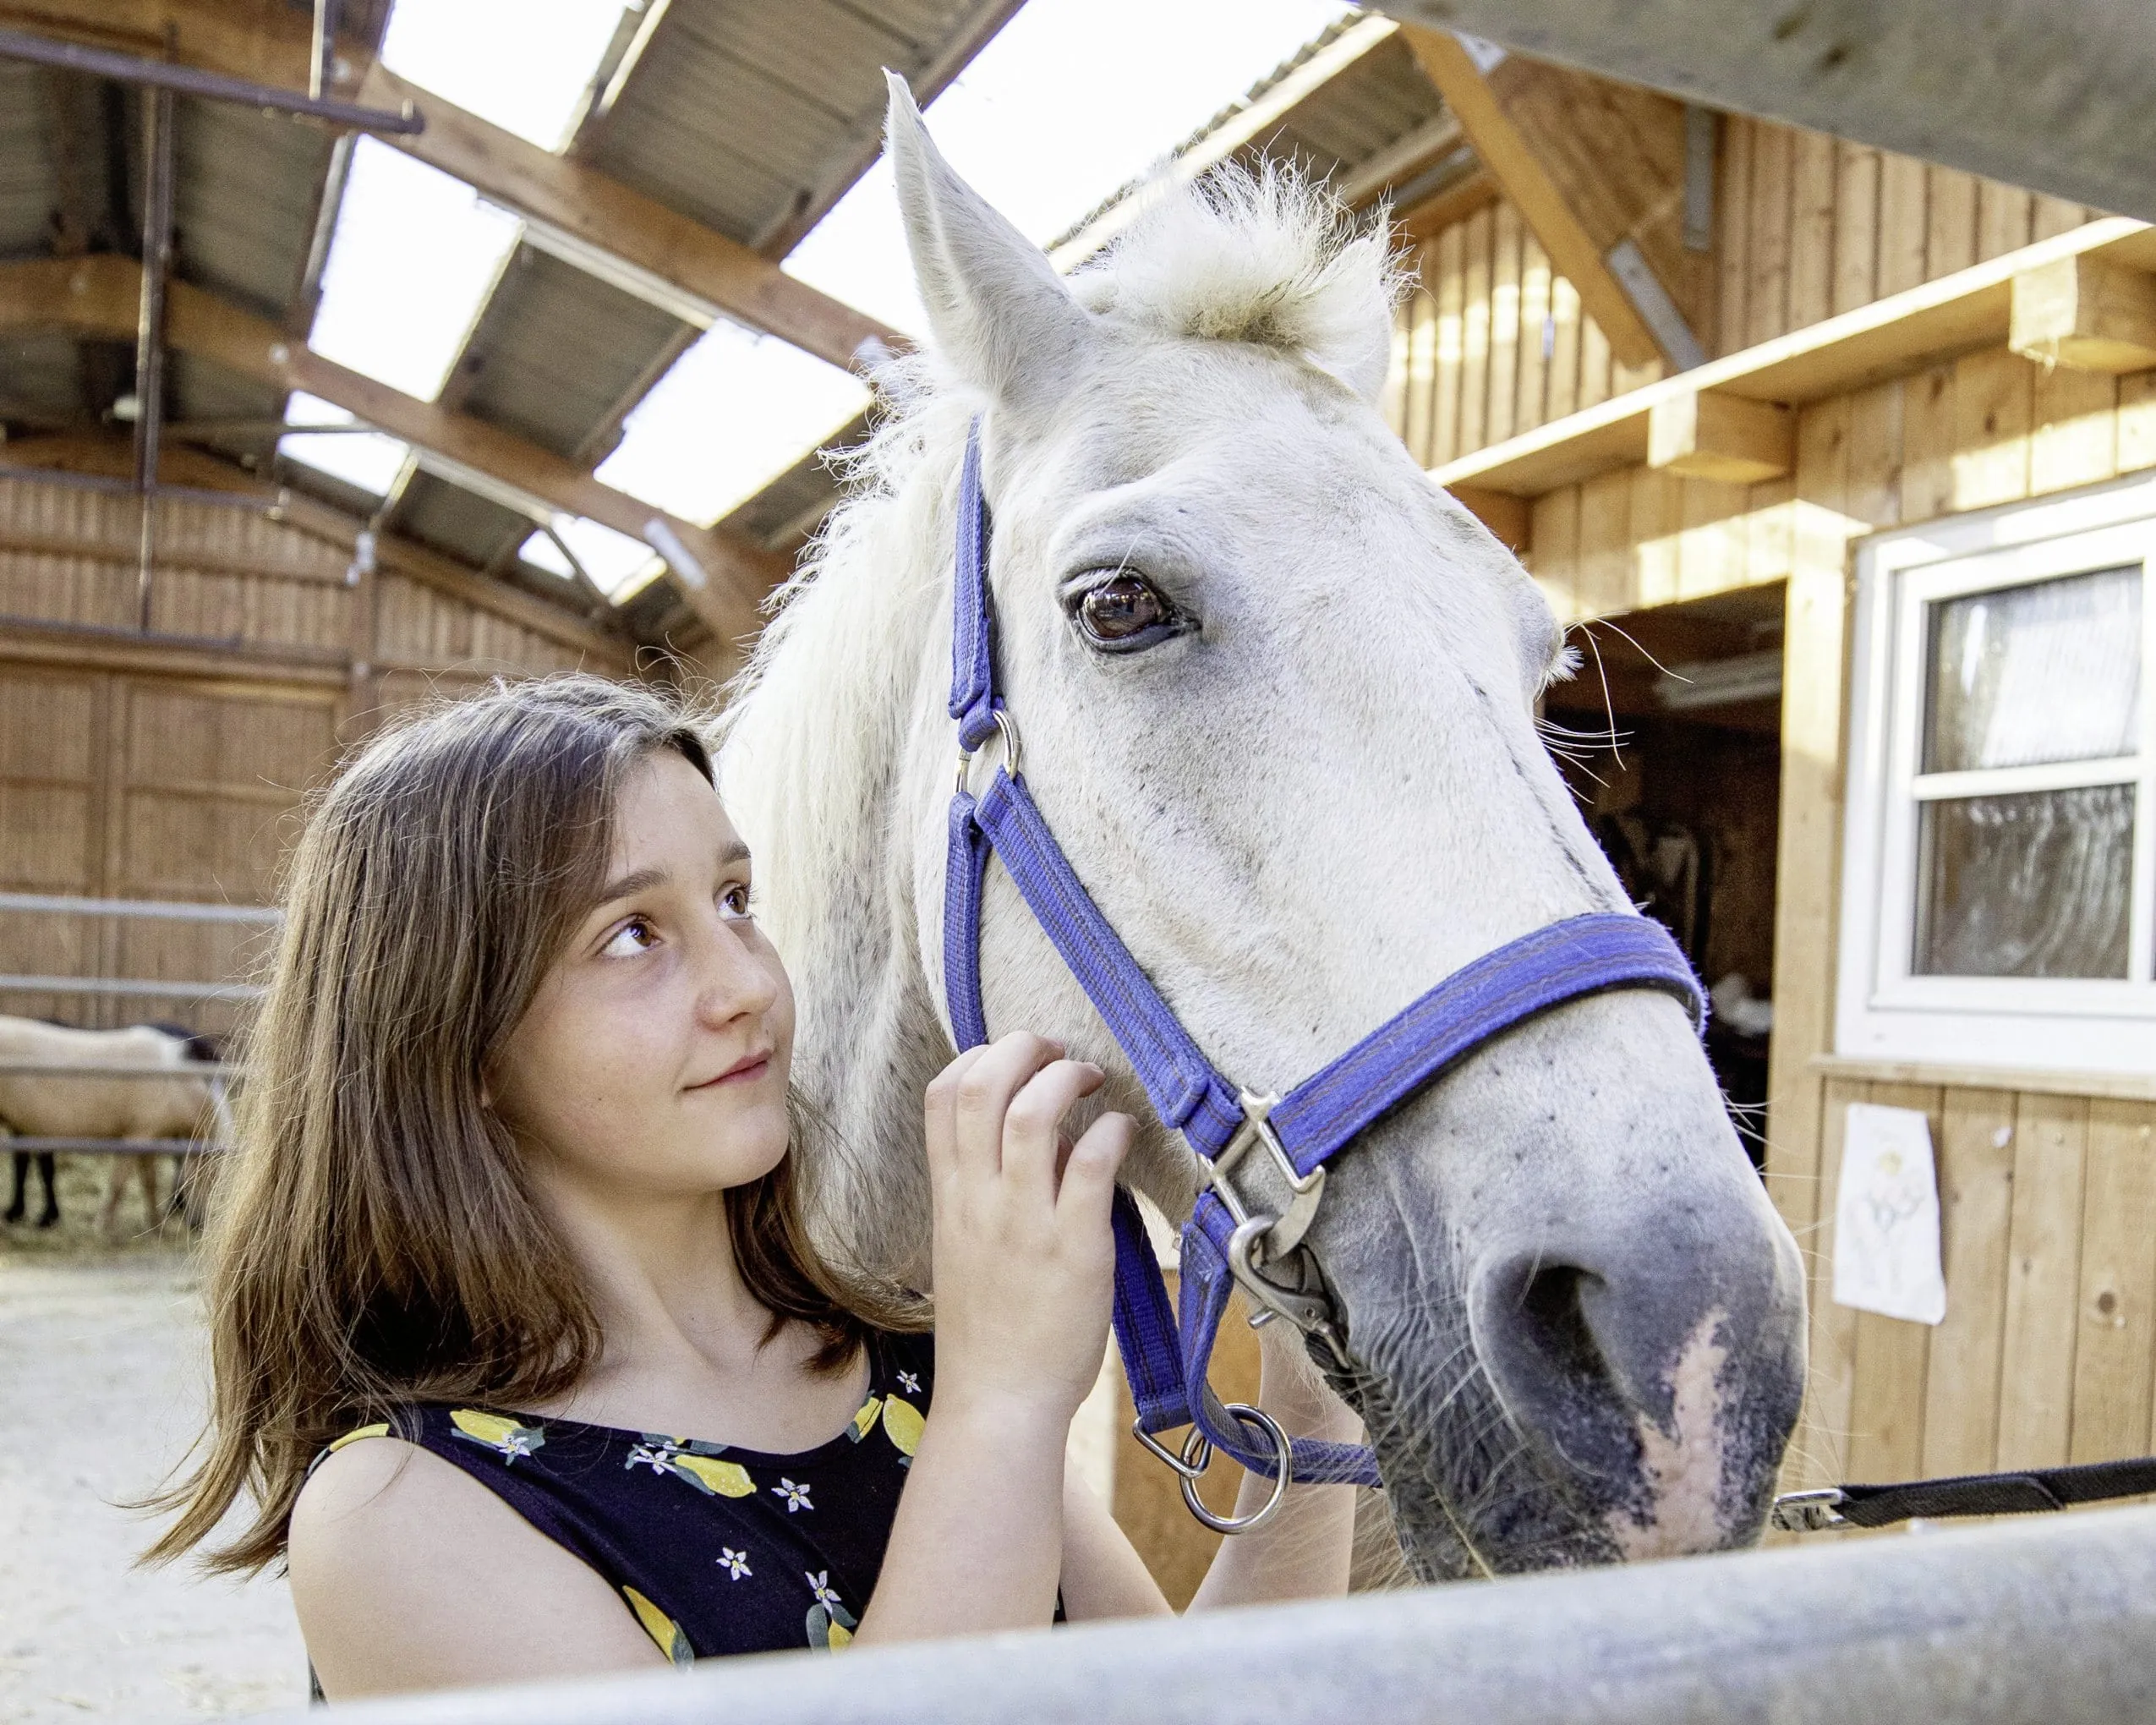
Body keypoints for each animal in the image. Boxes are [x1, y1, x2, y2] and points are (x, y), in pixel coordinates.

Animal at [0, 1015, 231, 1241]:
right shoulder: (135, 1138)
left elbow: (150, 1184)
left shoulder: (148, 1138)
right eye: (211, 1177)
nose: (199, 1225)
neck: (177, 1084)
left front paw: (156, 1226)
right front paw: (103, 1227)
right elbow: (118, 1183)